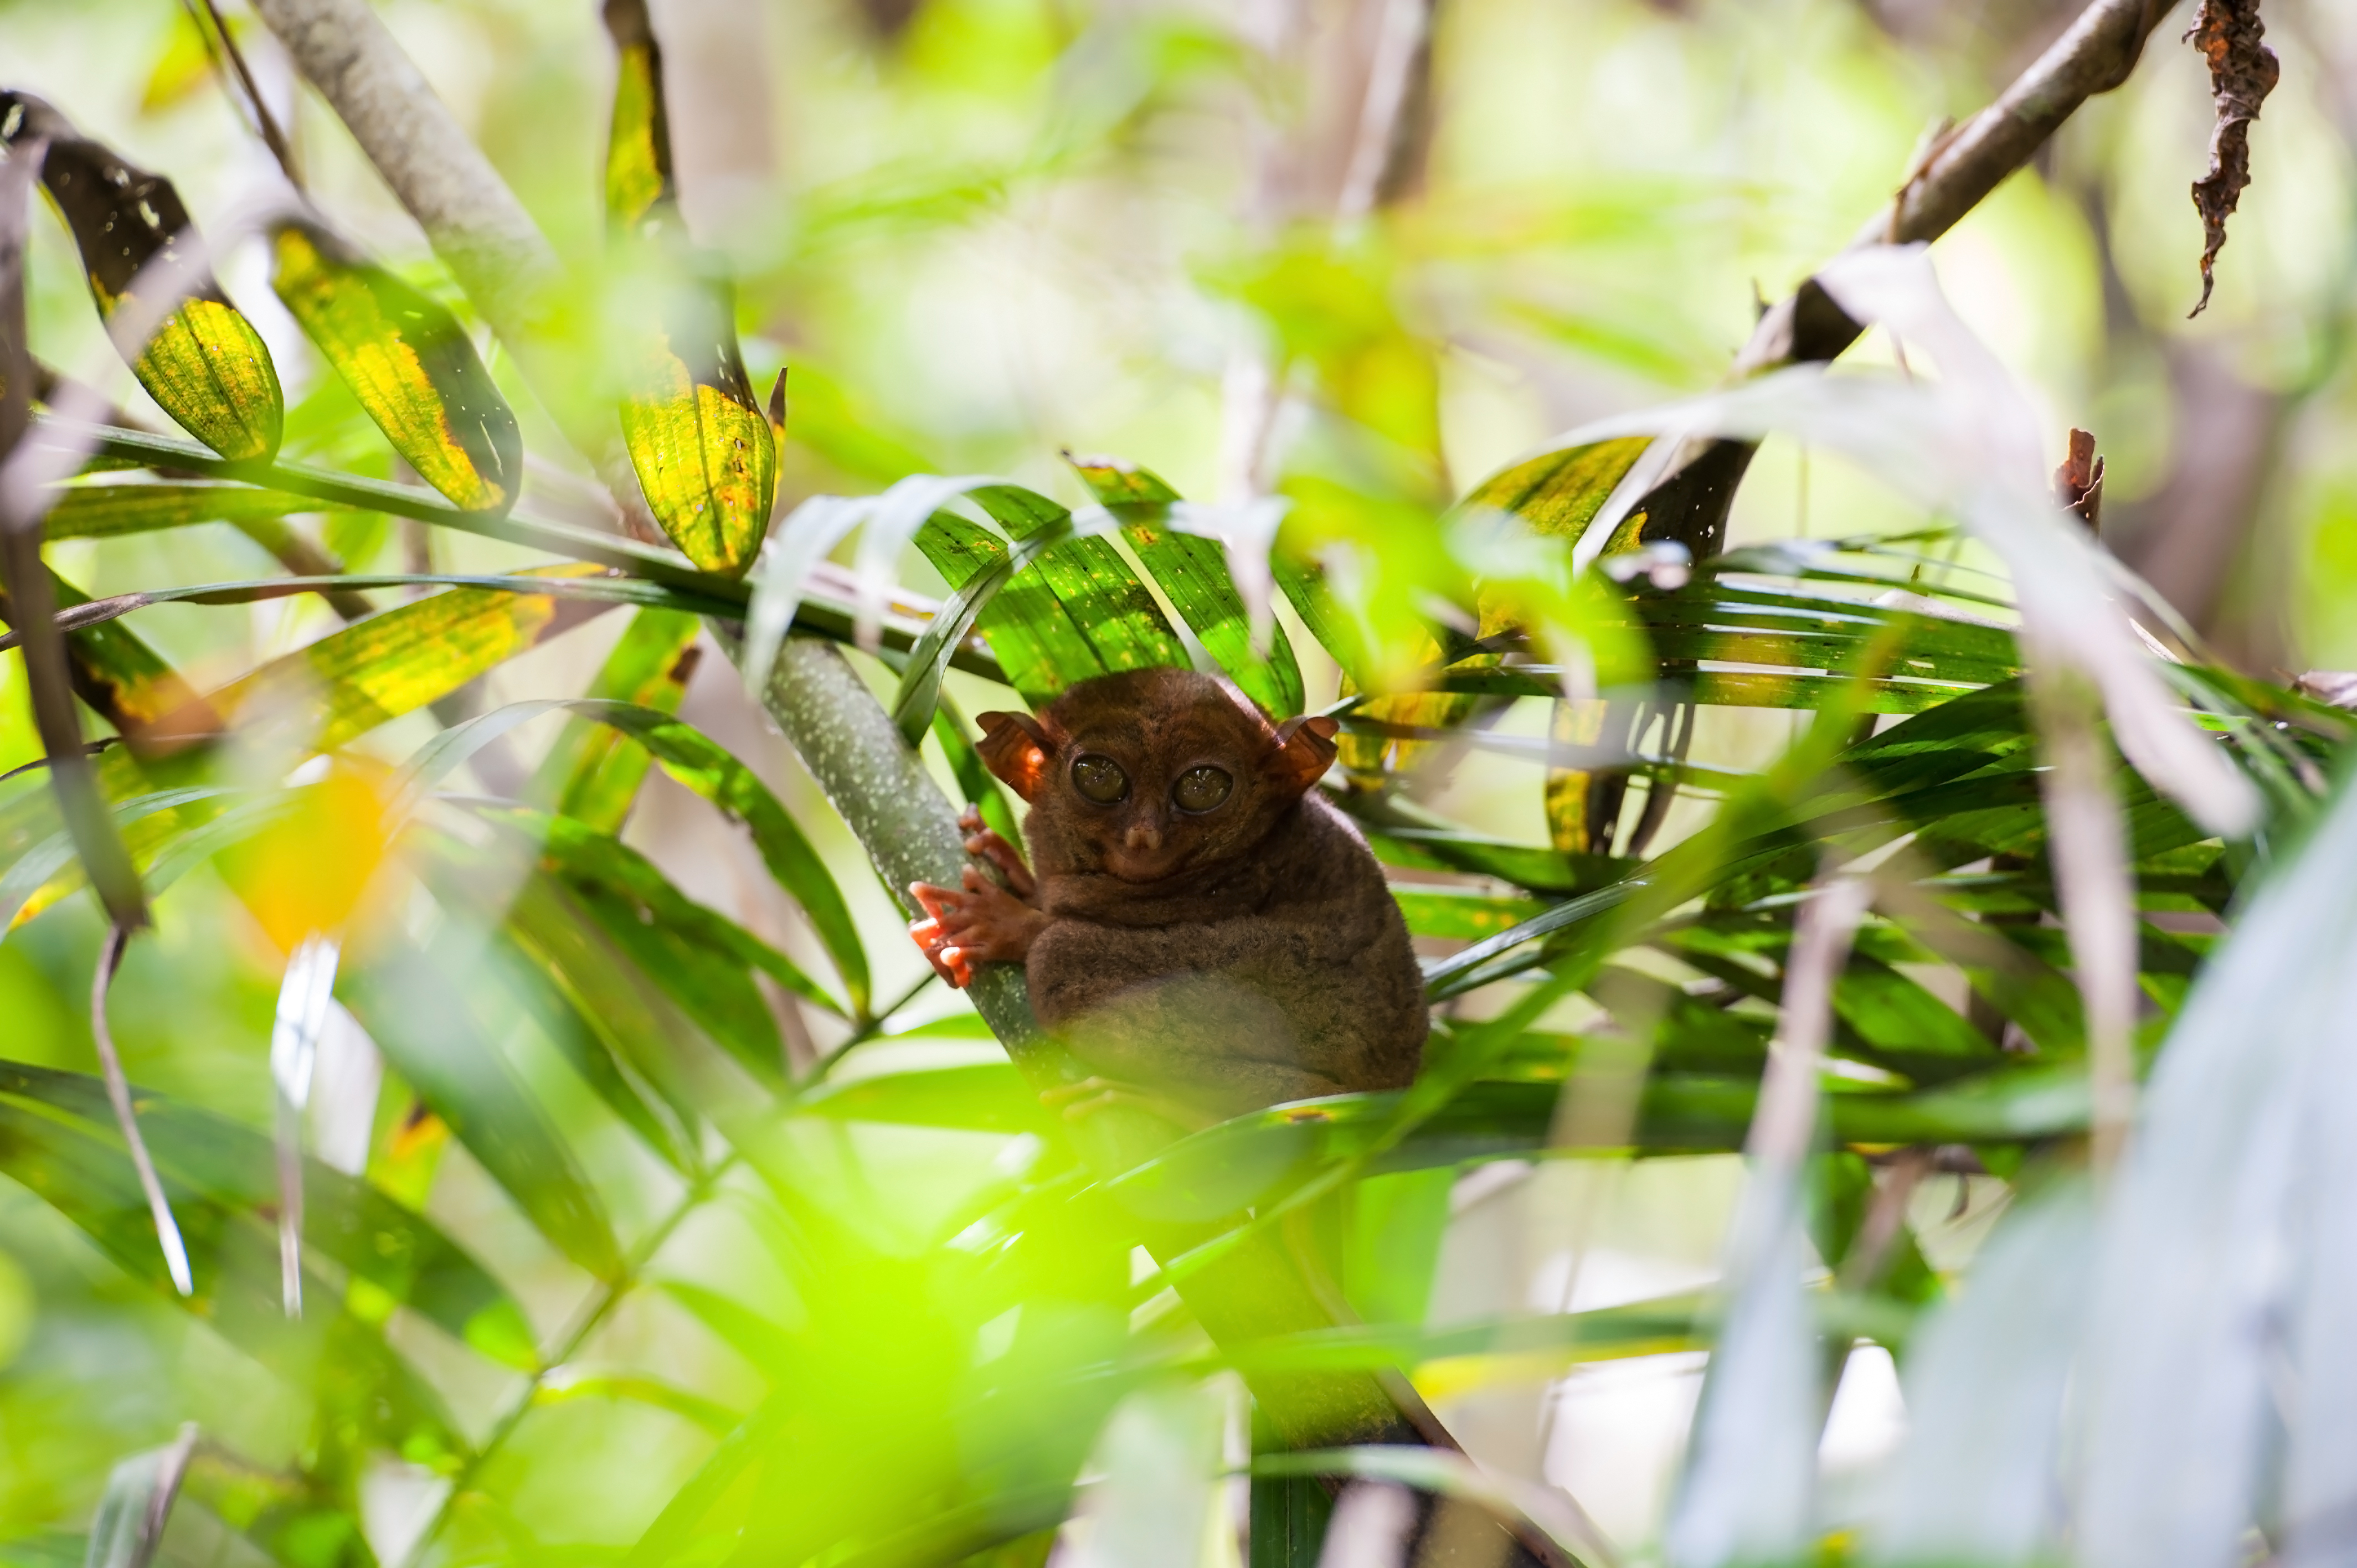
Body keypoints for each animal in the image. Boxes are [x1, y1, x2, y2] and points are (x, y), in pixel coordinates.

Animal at [907, 668, 1427, 1127]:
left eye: (1202, 786)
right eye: (1099, 777)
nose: (1145, 835)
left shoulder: (1236, 880)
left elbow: (1069, 925)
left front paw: (1002, 919)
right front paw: (1006, 864)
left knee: (1061, 957)